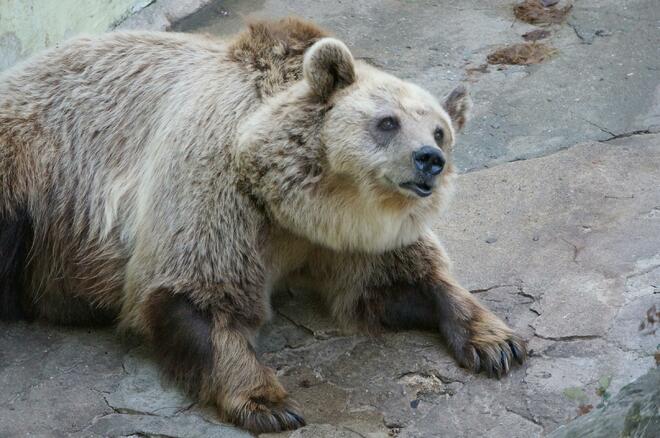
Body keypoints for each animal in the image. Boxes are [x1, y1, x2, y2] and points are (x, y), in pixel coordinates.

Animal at [0, 16, 524, 432]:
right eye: (387, 122)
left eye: (440, 130)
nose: (429, 159)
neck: (306, 209)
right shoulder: (219, 187)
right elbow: (200, 294)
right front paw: (268, 402)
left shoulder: (356, 239)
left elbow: (400, 281)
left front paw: (496, 342)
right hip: (33, 169)